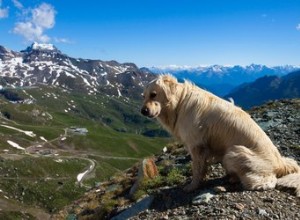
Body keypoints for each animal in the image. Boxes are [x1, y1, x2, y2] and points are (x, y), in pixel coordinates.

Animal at [141, 74, 300, 196]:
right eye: (143, 96)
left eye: (153, 94)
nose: (143, 111)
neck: (179, 102)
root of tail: (280, 164)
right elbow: (202, 168)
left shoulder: (197, 145)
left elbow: (197, 169)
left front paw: (192, 186)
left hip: (234, 152)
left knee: (267, 182)